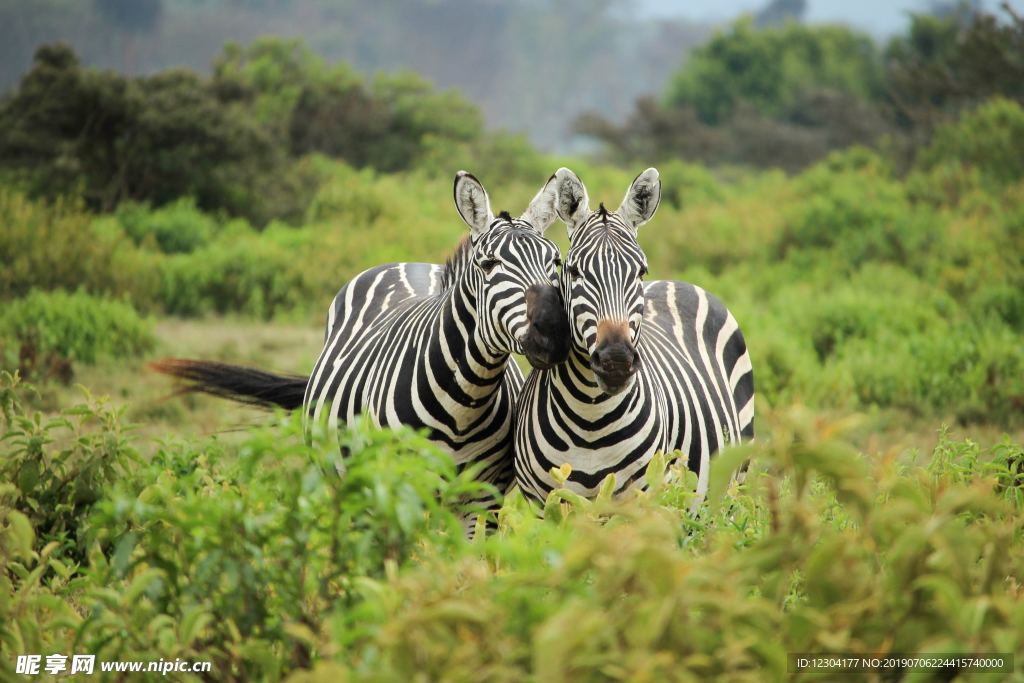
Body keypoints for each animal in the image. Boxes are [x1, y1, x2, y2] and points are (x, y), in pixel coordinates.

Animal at [153, 169, 569, 491]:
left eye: (556, 262)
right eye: (489, 264)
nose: (553, 332)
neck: (464, 402)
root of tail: (408, 263)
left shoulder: (483, 498)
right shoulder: (396, 486)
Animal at [512, 167, 753, 509]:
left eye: (640, 272)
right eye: (574, 271)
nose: (616, 361)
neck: (590, 417)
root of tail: (678, 282)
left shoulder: (640, 502)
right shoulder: (543, 504)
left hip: (732, 485)